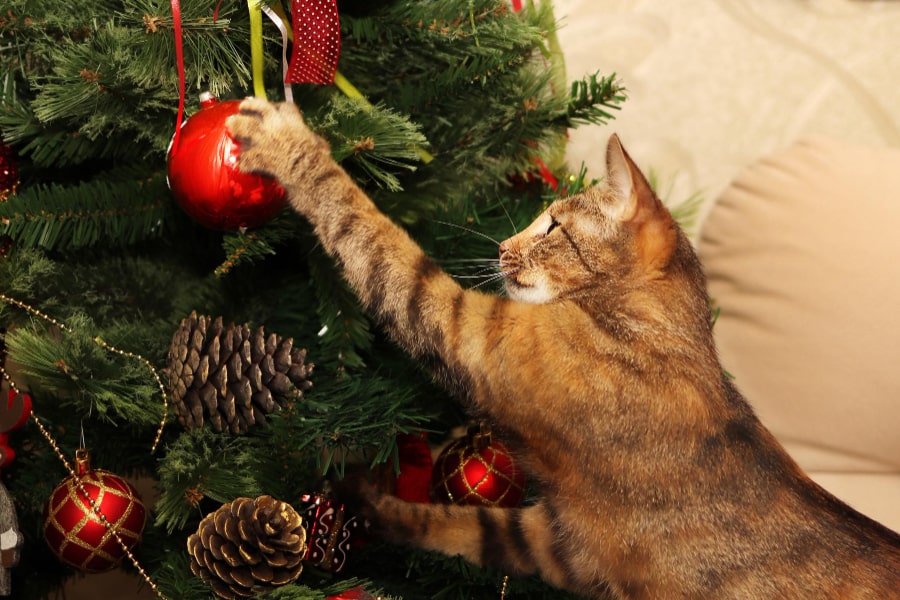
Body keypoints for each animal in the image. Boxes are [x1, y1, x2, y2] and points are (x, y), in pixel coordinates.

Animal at [229, 99, 900, 600]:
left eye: (552, 226)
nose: (501, 246)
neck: (660, 331)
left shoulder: (472, 332)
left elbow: (371, 235)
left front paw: (287, 142)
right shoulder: (554, 540)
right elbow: (454, 522)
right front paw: (364, 502)